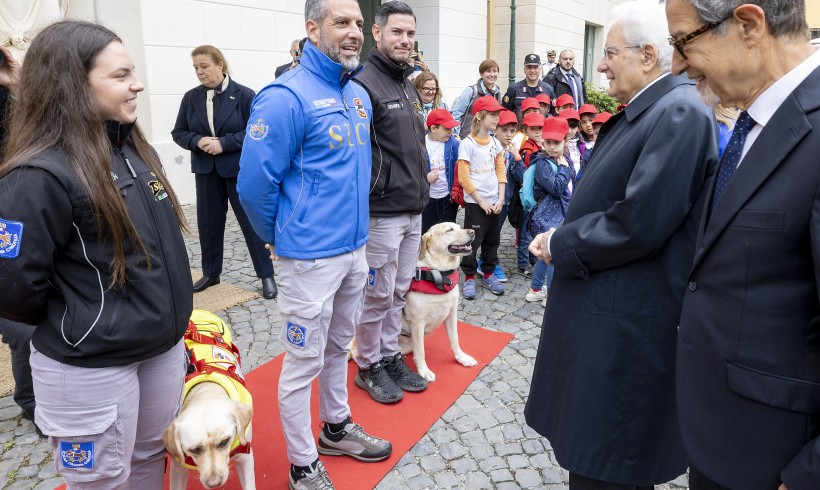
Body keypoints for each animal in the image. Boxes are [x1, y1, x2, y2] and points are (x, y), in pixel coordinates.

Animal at [163, 314, 256, 490]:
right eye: (194, 450)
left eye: (224, 442)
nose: (214, 483)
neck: (204, 390)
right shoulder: (178, 467)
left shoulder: (244, 456)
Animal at [400, 223, 478, 382]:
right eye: (449, 230)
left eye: (459, 227)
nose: (472, 231)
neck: (440, 276)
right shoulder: (418, 323)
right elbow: (421, 352)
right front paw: (424, 371)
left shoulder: (451, 316)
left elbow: (455, 340)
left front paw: (462, 358)